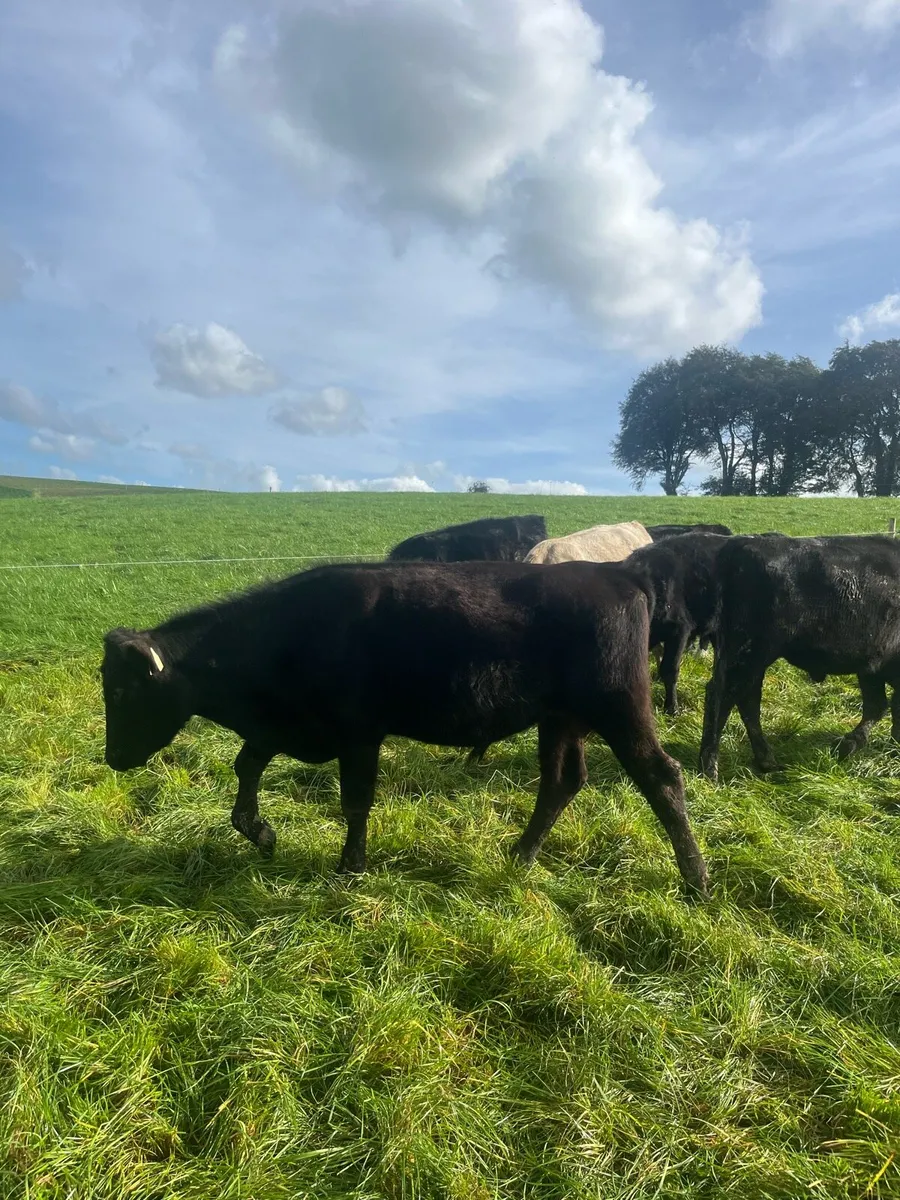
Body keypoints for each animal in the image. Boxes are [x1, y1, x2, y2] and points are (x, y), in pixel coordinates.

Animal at [101, 561, 708, 898]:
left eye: (124, 693)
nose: (112, 758)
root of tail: (616, 574)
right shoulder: (285, 727)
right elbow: (246, 767)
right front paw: (261, 832)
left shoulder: (358, 733)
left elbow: (355, 801)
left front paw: (350, 869)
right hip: (559, 721)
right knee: (561, 782)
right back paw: (519, 857)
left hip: (621, 709)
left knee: (662, 778)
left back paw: (696, 881)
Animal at [699, 534, 900, 782]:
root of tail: (740, 544)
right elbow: (882, 706)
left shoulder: (870, 667)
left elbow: (878, 705)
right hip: (747, 656)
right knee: (722, 697)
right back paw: (710, 768)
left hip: (751, 661)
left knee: (747, 701)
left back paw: (767, 761)